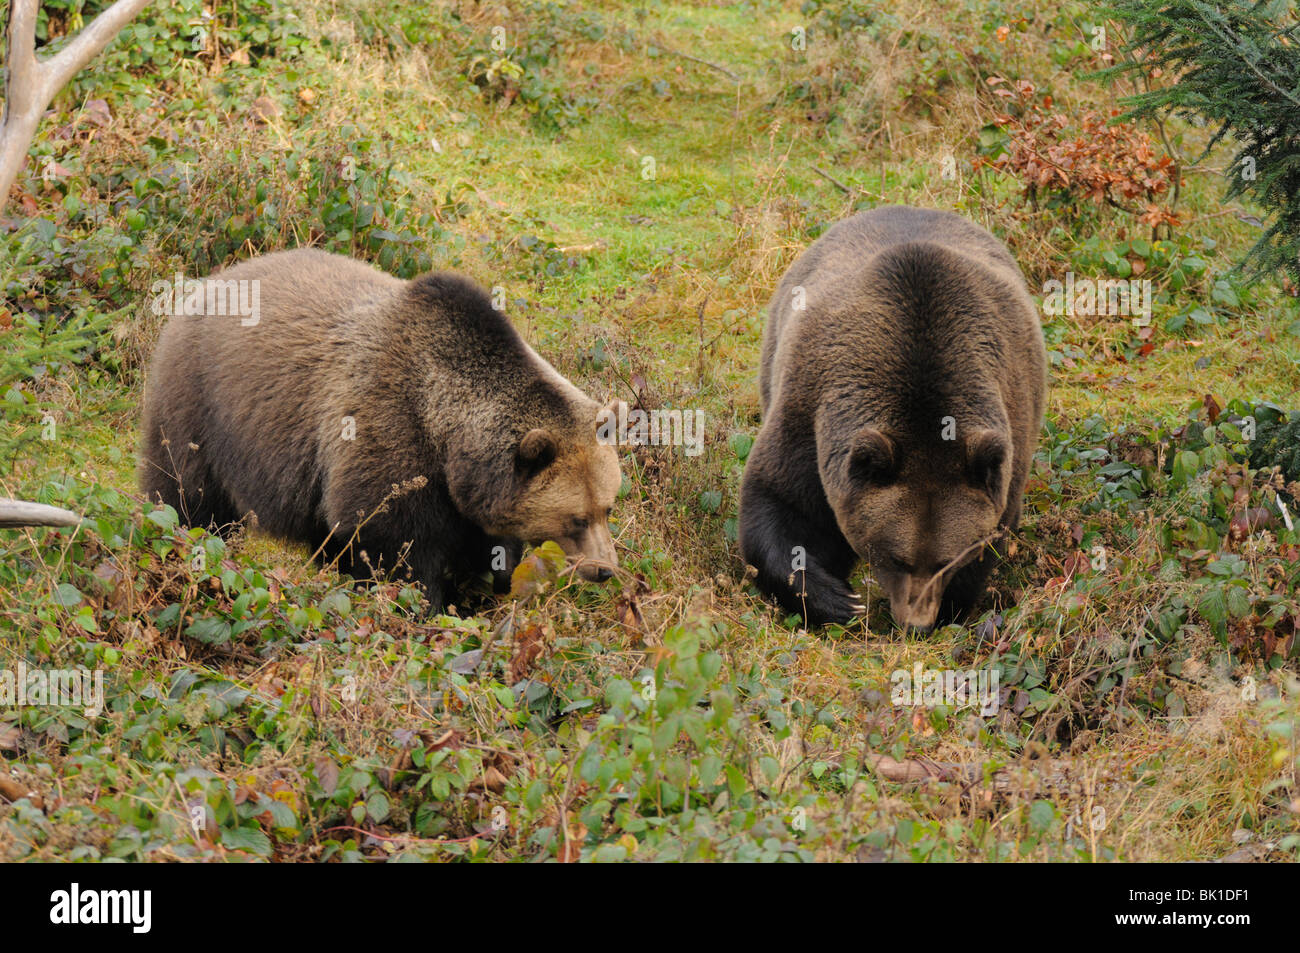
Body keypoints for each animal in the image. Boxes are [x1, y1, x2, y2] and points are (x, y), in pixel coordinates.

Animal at [142, 245, 624, 603]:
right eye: (575, 519)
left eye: (607, 507)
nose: (605, 570)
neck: (446, 436)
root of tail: (208, 283)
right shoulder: (387, 439)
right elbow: (396, 549)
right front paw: (425, 604)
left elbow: (490, 552)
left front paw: (485, 592)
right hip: (201, 405)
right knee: (187, 494)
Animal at [743, 204, 1045, 629]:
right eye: (896, 557)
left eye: (946, 560)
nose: (916, 622)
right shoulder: (809, 406)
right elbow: (779, 502)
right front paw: (838, 599)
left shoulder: (1010, 424)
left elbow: (992, 534)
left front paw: (951, 606)